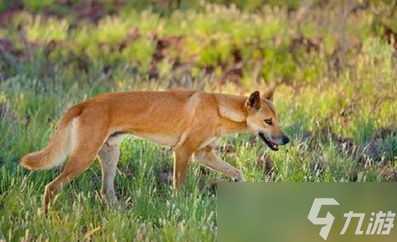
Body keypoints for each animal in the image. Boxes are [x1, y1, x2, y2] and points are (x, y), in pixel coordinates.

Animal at [20, 88, 288, 213]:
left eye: (277, 119)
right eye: (268, 121)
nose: (285, 139)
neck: (219, 108)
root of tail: (83, 104)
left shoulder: (203, 154)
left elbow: (238, 173)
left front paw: (246, 197)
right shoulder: (183, 151)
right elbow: (178, 187)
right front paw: (178, 209)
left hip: (110, 156)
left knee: (106, 192)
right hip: (82, 159)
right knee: (51, 187)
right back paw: (45, 218)